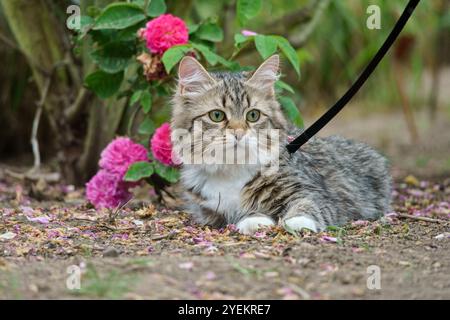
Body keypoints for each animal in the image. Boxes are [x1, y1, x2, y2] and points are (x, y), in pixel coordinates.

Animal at [171, 54, 392, 235]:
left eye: (253, 115)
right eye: (217, 115)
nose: (239, 133)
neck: (232, 169)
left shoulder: (311, 192)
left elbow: (306, 204)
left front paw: (297, 222)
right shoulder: (210, 211)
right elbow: (240, 213)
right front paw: (255, 221)